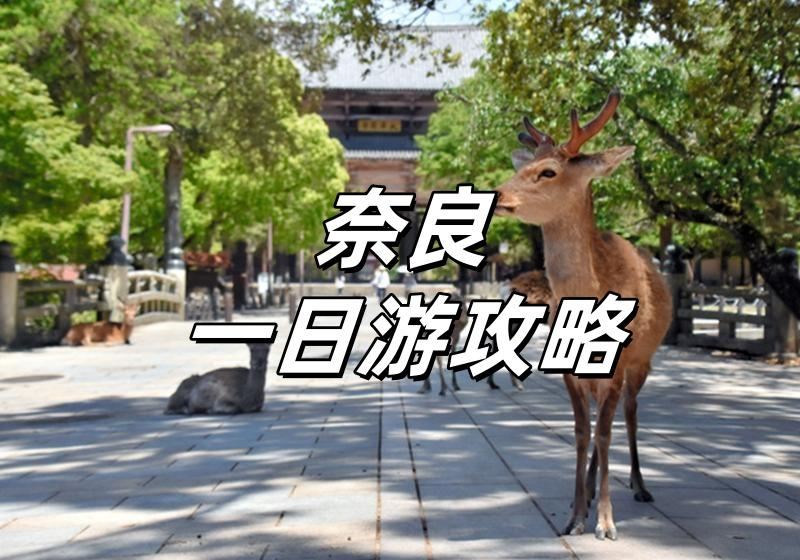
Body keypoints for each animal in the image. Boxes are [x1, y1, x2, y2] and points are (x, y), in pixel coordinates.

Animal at [494, 88, 672, 540]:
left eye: (548, 171)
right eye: (521, 166)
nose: (498, 195)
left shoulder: (620, 363)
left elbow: (605, 434)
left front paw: (607, 524)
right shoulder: (568, 370)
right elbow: (579, 433)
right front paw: (573, 516)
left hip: (643, 361)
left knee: (630, 415)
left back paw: (640, 486)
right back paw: (590, 491)